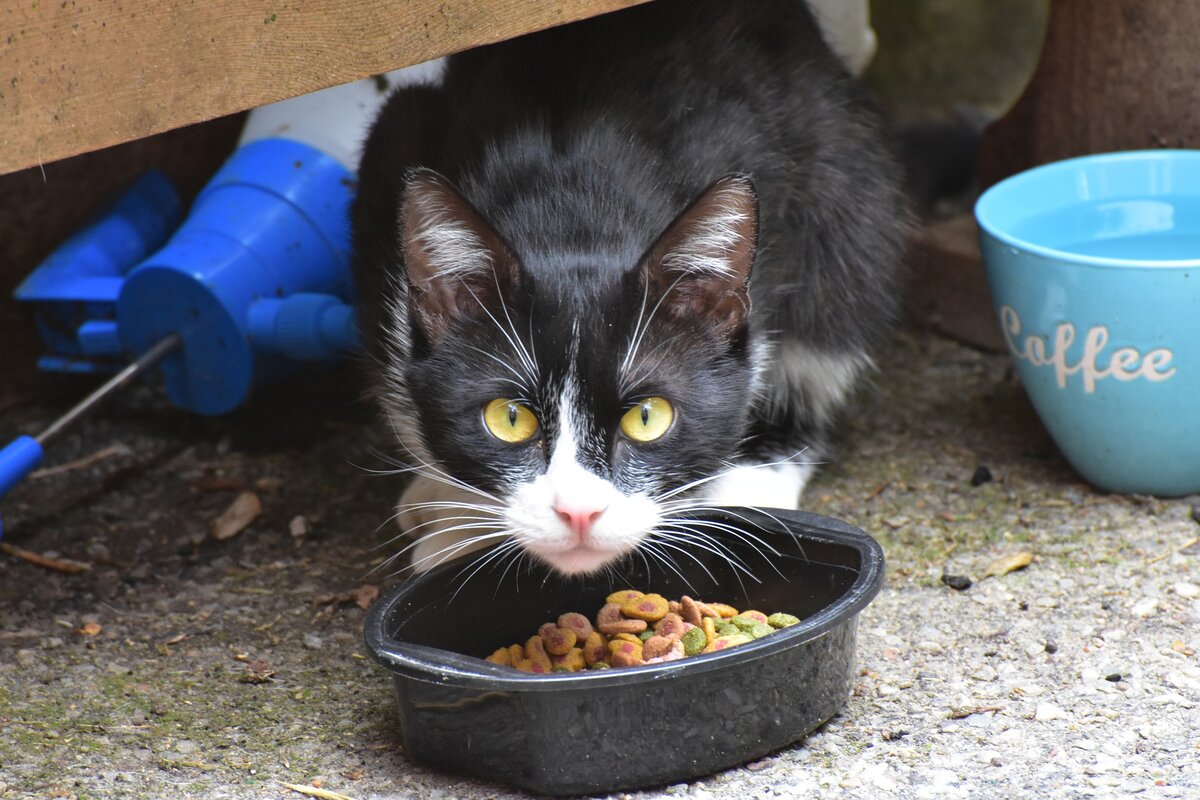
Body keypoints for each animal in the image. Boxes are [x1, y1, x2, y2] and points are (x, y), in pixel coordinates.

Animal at [352, 0, 907, 575]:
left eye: (648, 417)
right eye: (509, 418)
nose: (578, 511)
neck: (572, 214)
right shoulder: (392, 152)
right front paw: (460, 524)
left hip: (846, 172)